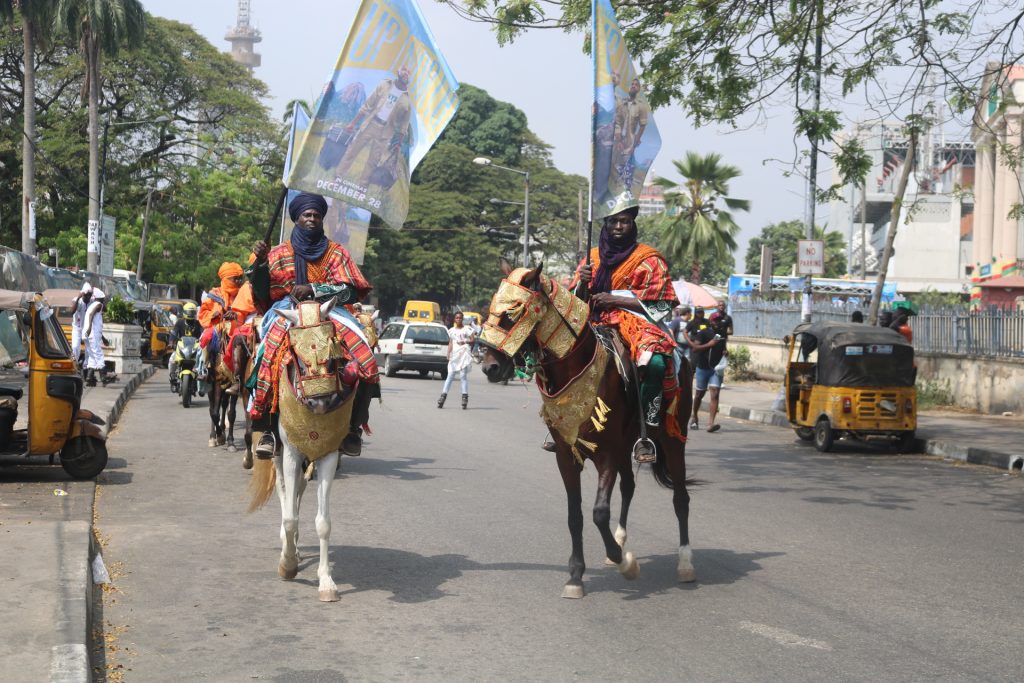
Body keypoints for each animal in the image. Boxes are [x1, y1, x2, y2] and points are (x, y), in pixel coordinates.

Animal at [479, 262, 696, 598]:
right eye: (490, 308)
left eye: (513, 313)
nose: (490, 367)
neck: (576, 366)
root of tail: (680, 357)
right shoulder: (567, 455)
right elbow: (575, 515)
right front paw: (576, 576)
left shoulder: (606, 453)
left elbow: (599, 512)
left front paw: (625, 563)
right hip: (627, 443)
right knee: (629, 486)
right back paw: (619, 540)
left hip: (673, 438)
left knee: (680, 498)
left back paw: (685, 563)